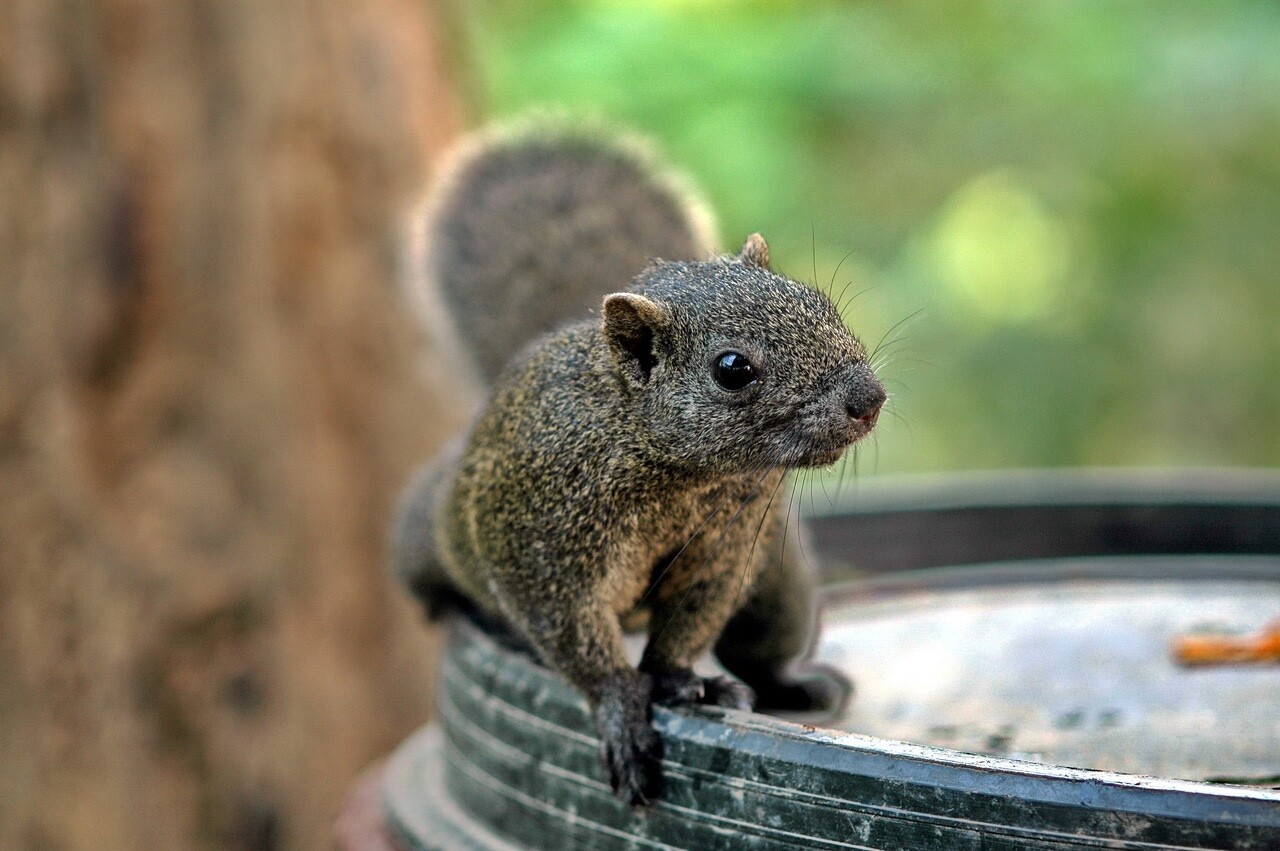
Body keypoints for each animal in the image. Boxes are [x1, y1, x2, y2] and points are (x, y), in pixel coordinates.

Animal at [394, 119, 885, 803]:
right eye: (732, 368)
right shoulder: (540, 551)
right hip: (429, 531)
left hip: (781, 591)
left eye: (822, 305)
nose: (869, 398)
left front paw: (681, 680)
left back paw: (794, 688)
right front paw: (621, 705)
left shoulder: (725, 548)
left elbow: (690, 622)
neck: (664, 465)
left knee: (761, 651)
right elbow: (573, 637)